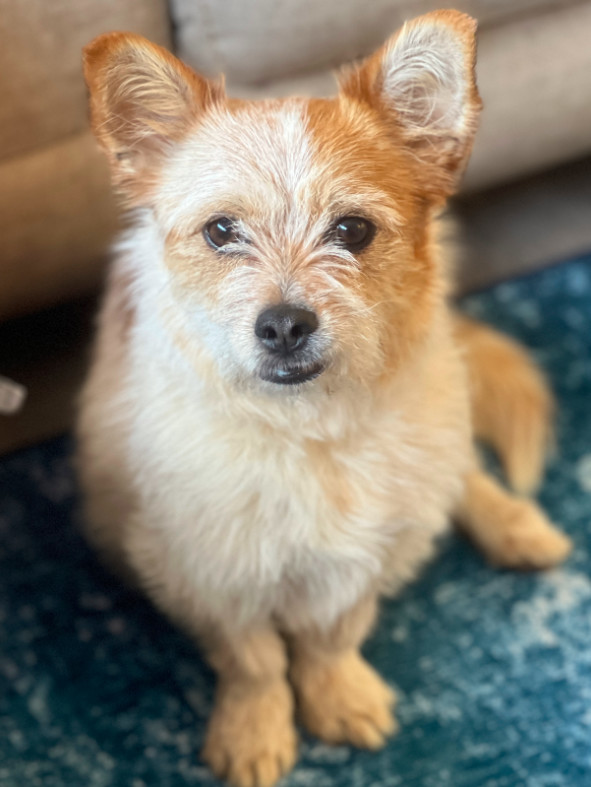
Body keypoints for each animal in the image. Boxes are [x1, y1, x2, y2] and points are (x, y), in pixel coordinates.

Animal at [76, 13, 572, 787]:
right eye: (221, 230)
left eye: (352, 230)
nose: (283, 325)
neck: (307, 430)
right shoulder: (204, 566)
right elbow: (253, 659)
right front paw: (254, 730)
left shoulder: (370, 552)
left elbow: (331, 635)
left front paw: (337, 697)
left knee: (460, 471)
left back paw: (516, 524)